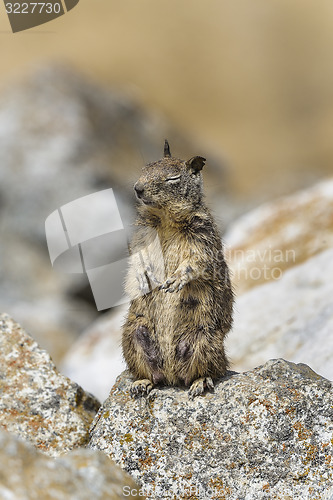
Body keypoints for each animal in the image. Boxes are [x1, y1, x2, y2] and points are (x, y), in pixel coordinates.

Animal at [122, 141, 233, 398]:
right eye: (145, 168)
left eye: (172, 178)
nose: (137, 188)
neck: (165, 219)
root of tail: (172, 375)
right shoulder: (142, 235)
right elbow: (137, 256)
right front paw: (142, 277)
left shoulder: (202, 236)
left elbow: (196, 261)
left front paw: (175, 280)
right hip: (133, 335)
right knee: (153, 375)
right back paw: (142, 382)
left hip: (203, 339)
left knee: (215, 370)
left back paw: (199, 382)